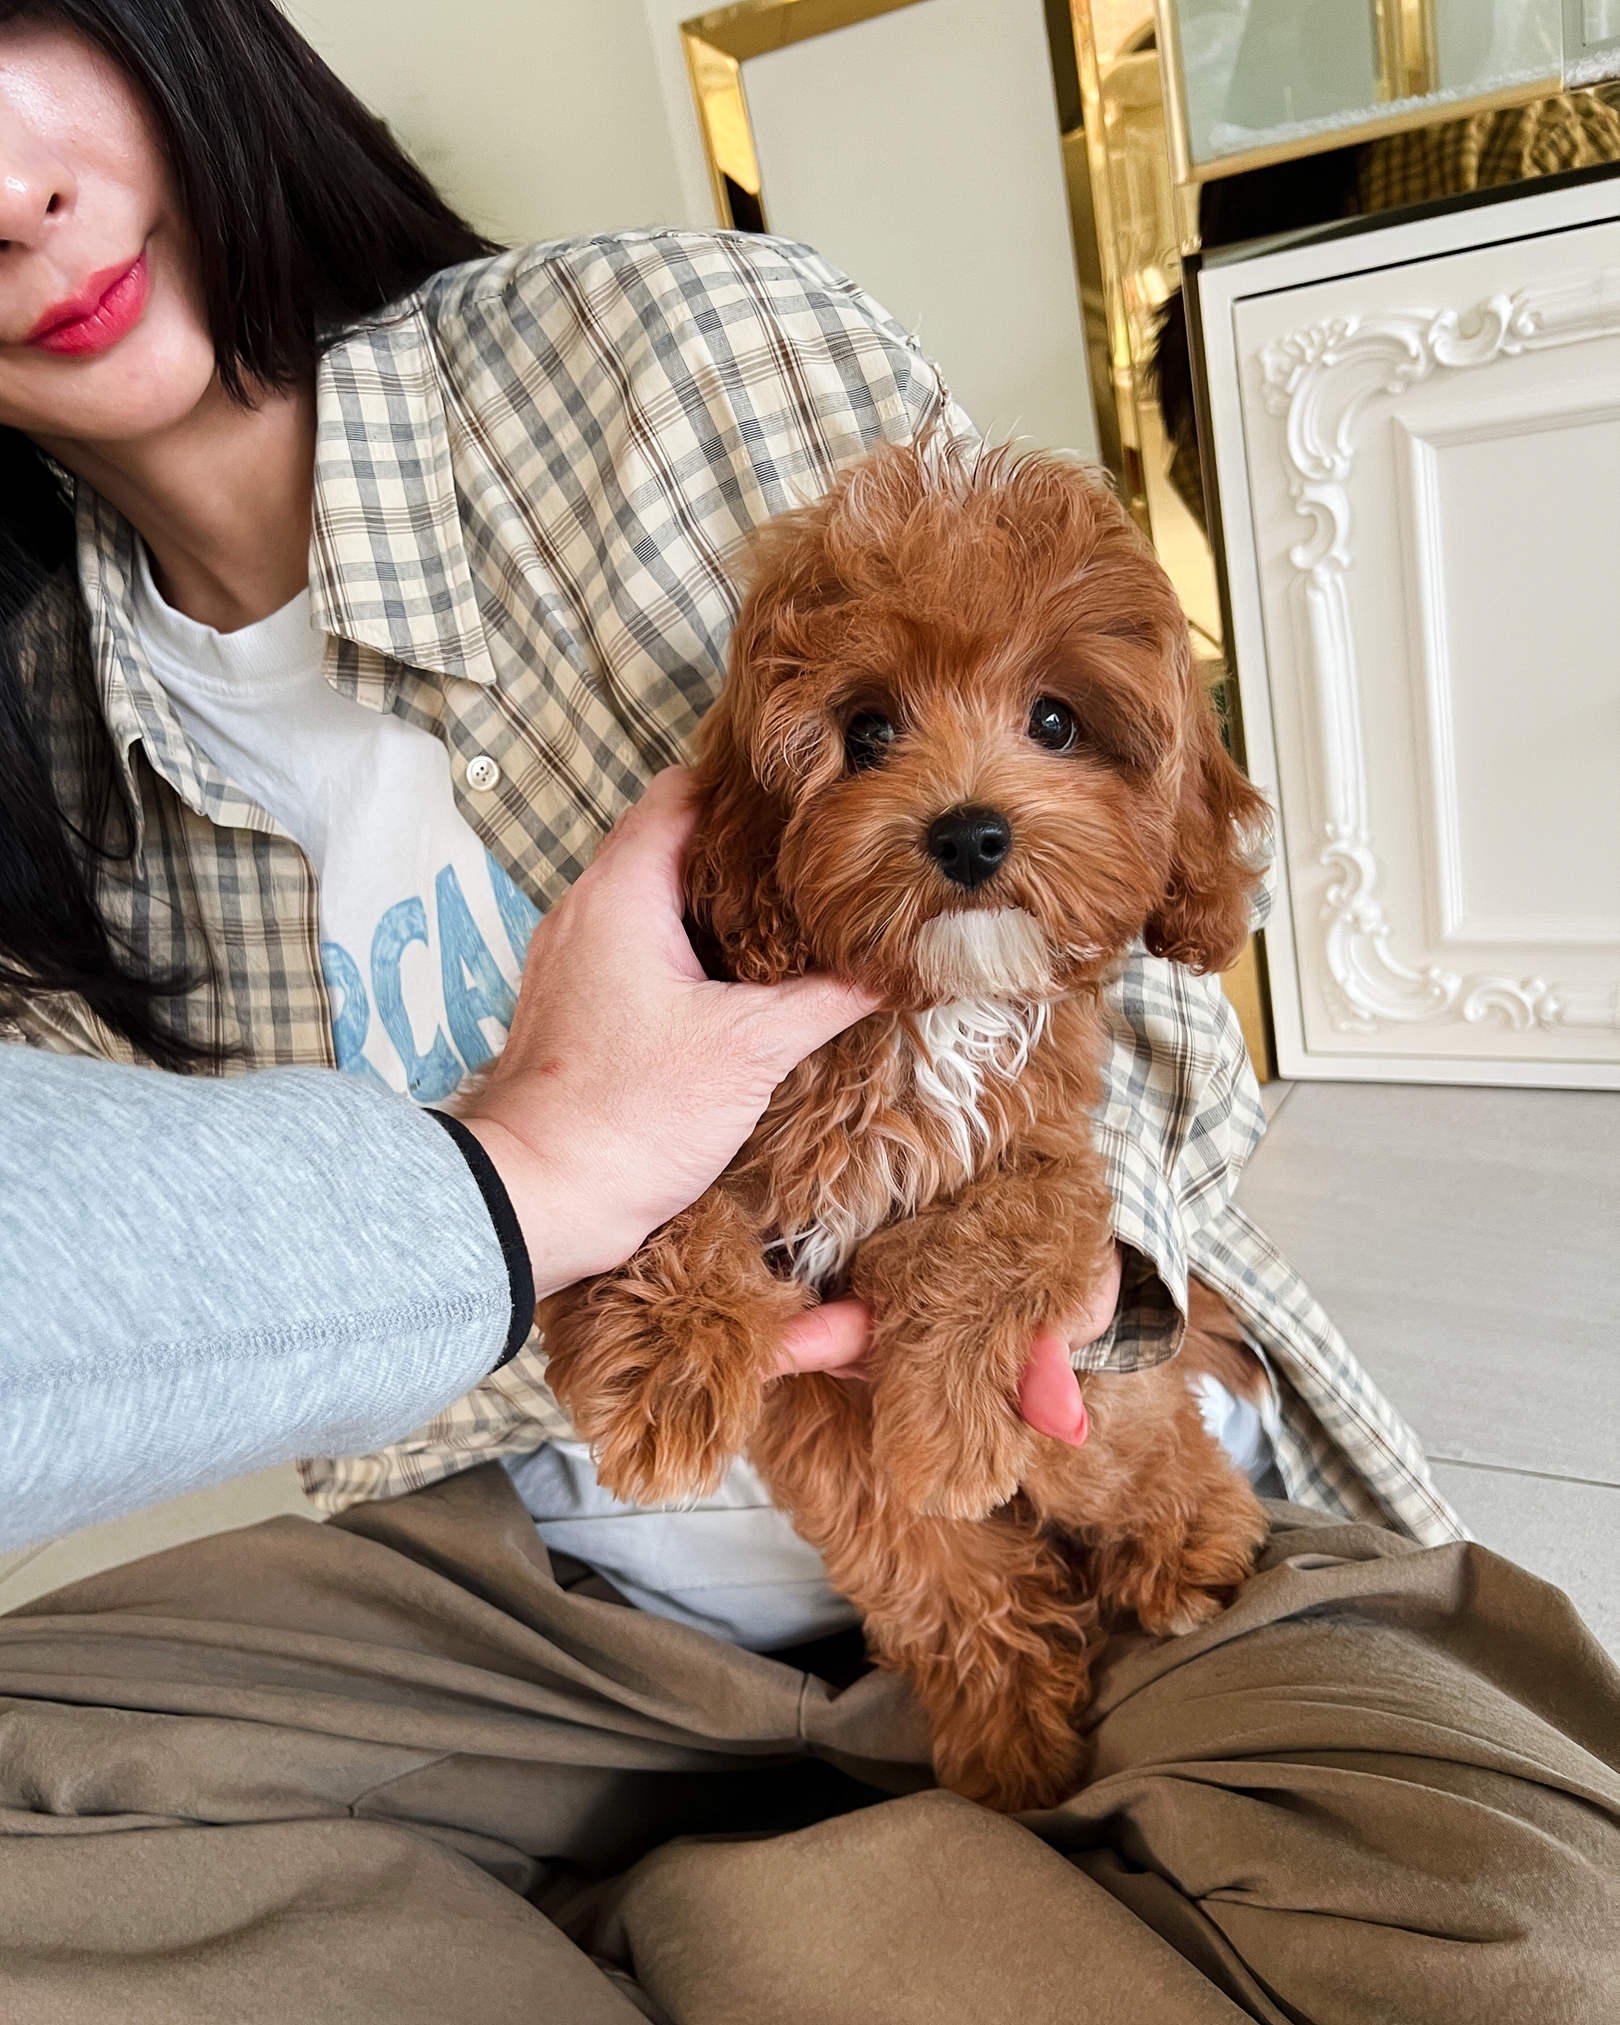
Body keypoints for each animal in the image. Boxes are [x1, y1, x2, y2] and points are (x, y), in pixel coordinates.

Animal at [541, 440, 1273, 1812]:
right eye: (868, 730)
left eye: (1056, 721)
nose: (972, 831)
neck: (932, 1011)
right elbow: (663, 1176)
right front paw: (667, 1370)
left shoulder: (1050, 1167)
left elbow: (988, 1230)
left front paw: (948, 1415)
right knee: (960, 1577)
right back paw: (1011, 1751)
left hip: (1093, 1414)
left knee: (1142, 1449)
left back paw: (1190, 1551)